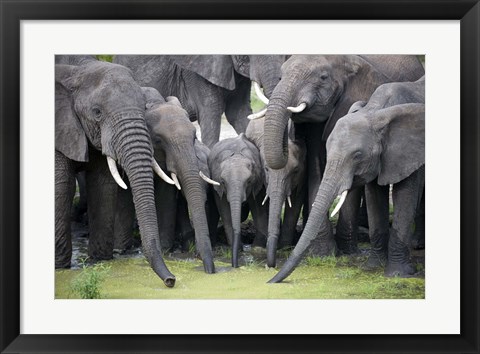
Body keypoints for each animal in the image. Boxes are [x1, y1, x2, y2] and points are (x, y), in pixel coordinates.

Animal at [55, 56, 176, 288]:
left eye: (144, 108)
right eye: (97, 112)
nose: (171, 280)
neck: (77, 72)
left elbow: (103, 186)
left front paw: (100, 261)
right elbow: (61, 188)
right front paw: (60, 267)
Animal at [208, 134, 268, 266]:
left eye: (249, 181)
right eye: (223, 181)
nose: (235, 265)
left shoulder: (258, 181)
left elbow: (259, 208)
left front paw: (257, 248)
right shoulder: (217, 182)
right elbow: (224, 209)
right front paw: (238, 247)